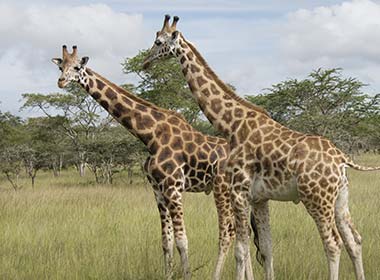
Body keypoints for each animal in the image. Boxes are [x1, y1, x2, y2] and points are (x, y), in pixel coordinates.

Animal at [50, 44, 236, 278]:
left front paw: (187, 275)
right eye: (60, 68)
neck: (150, 135)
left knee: (228, 233)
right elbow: (166, 241)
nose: (61, 81)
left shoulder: (173, 188)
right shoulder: (157, 189)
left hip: (222, 189)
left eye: (76, 67)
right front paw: (168, 275)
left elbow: (182, 241)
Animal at [142, 14, 380, 280]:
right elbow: (265, 248)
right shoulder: (259, 198)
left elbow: (240, 250)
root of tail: (341, 159)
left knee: (333, 244)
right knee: (354, 240)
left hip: (316, 198)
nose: (144, 63)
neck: (232, 125)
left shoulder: (239, 191)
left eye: (158, 41)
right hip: (340, 198)